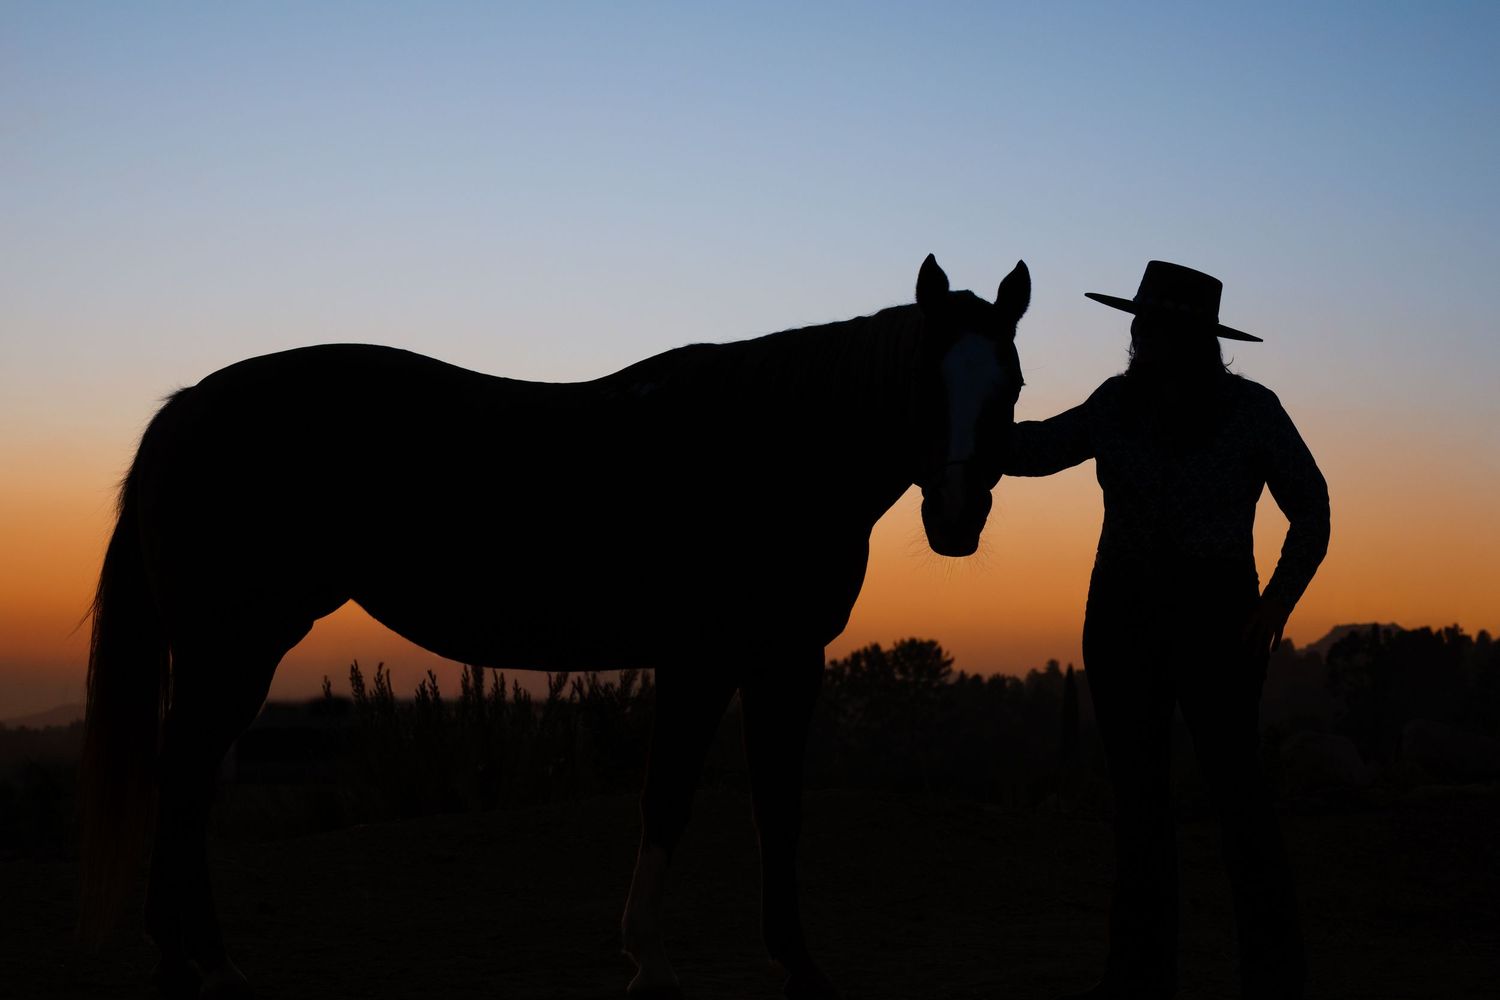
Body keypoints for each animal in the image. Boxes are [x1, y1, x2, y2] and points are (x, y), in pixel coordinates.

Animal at [79, 253, 1030, 999]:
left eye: (1011, 384)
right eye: (923, 377)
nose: (956, 516)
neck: (767, 446)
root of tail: (186, 407)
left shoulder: (764, 662)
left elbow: (755, 806)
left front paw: (763, 962)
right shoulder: (722, 660)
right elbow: (689, 798)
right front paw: (675, 962)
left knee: (182, 780)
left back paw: (186, 958)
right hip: (234, 648)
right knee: (185, 779)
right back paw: (205, 963)